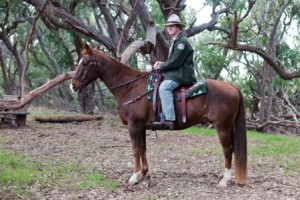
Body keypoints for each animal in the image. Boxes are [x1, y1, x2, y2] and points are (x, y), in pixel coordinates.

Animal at [70, 43, 246, 187]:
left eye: (85, 63)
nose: (73, 86)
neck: (131, 87)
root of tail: (232, 87)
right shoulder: (141, 127)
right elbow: (143, 149)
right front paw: (143, 174)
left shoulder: (134, 126)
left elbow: (135, 149)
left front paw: (134, 176)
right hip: (228, 127)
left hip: (222, 126)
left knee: (228, 149)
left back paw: (224, 180)